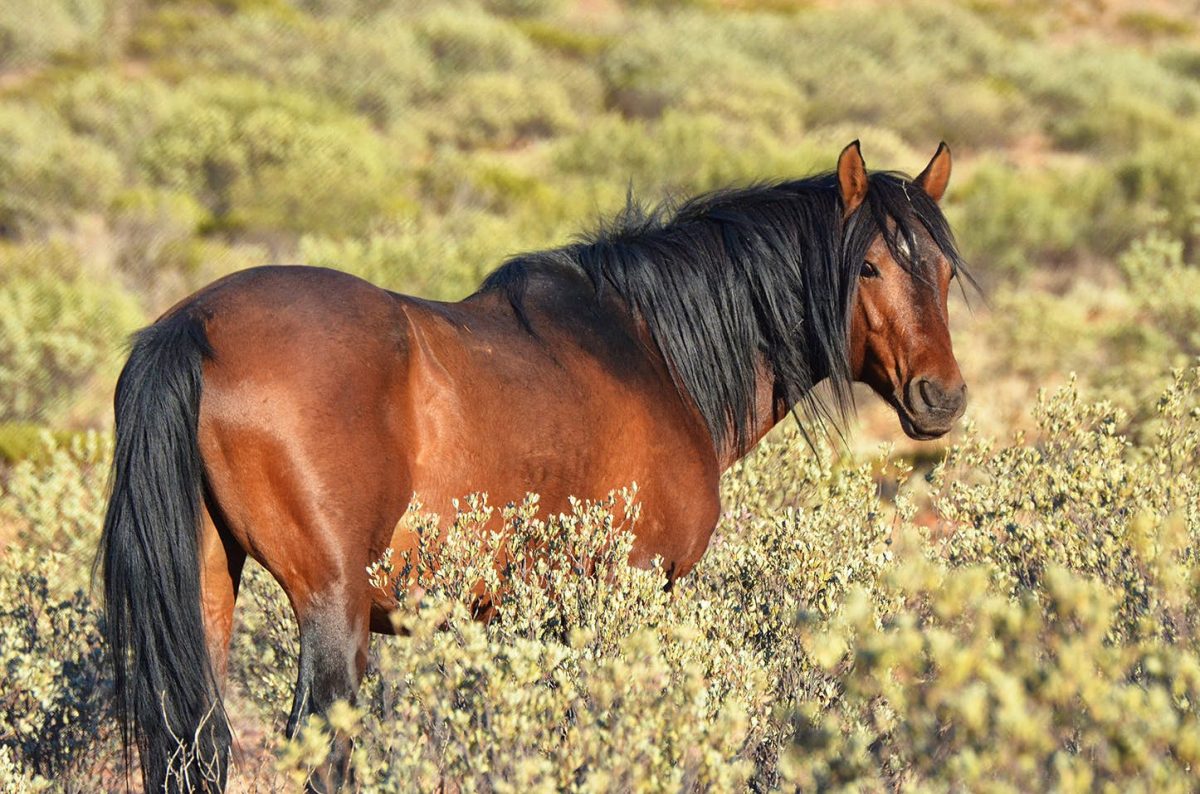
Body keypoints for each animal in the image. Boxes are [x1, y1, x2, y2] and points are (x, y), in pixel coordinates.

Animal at [98, 139, 969, 791]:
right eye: (868, 268)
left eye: (944, 270)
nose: (943, 397)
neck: (650, 350)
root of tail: (195, 327)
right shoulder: (627, 595)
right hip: (332, 605)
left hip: (210, 584)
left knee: (195, 743)